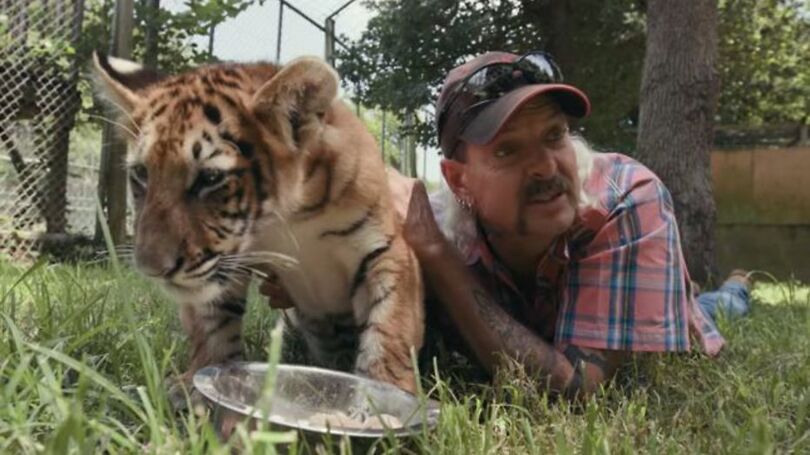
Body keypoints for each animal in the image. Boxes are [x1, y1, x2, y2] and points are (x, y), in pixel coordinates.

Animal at [92, 52, 425, 396]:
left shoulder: (388, 251)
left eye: (210, 178)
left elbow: (389, 327)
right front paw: (198, 384)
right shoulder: (225, 262)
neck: (288, 218)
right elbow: (212, 324)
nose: (152, 269)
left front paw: (386, 393)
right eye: (142, 173)